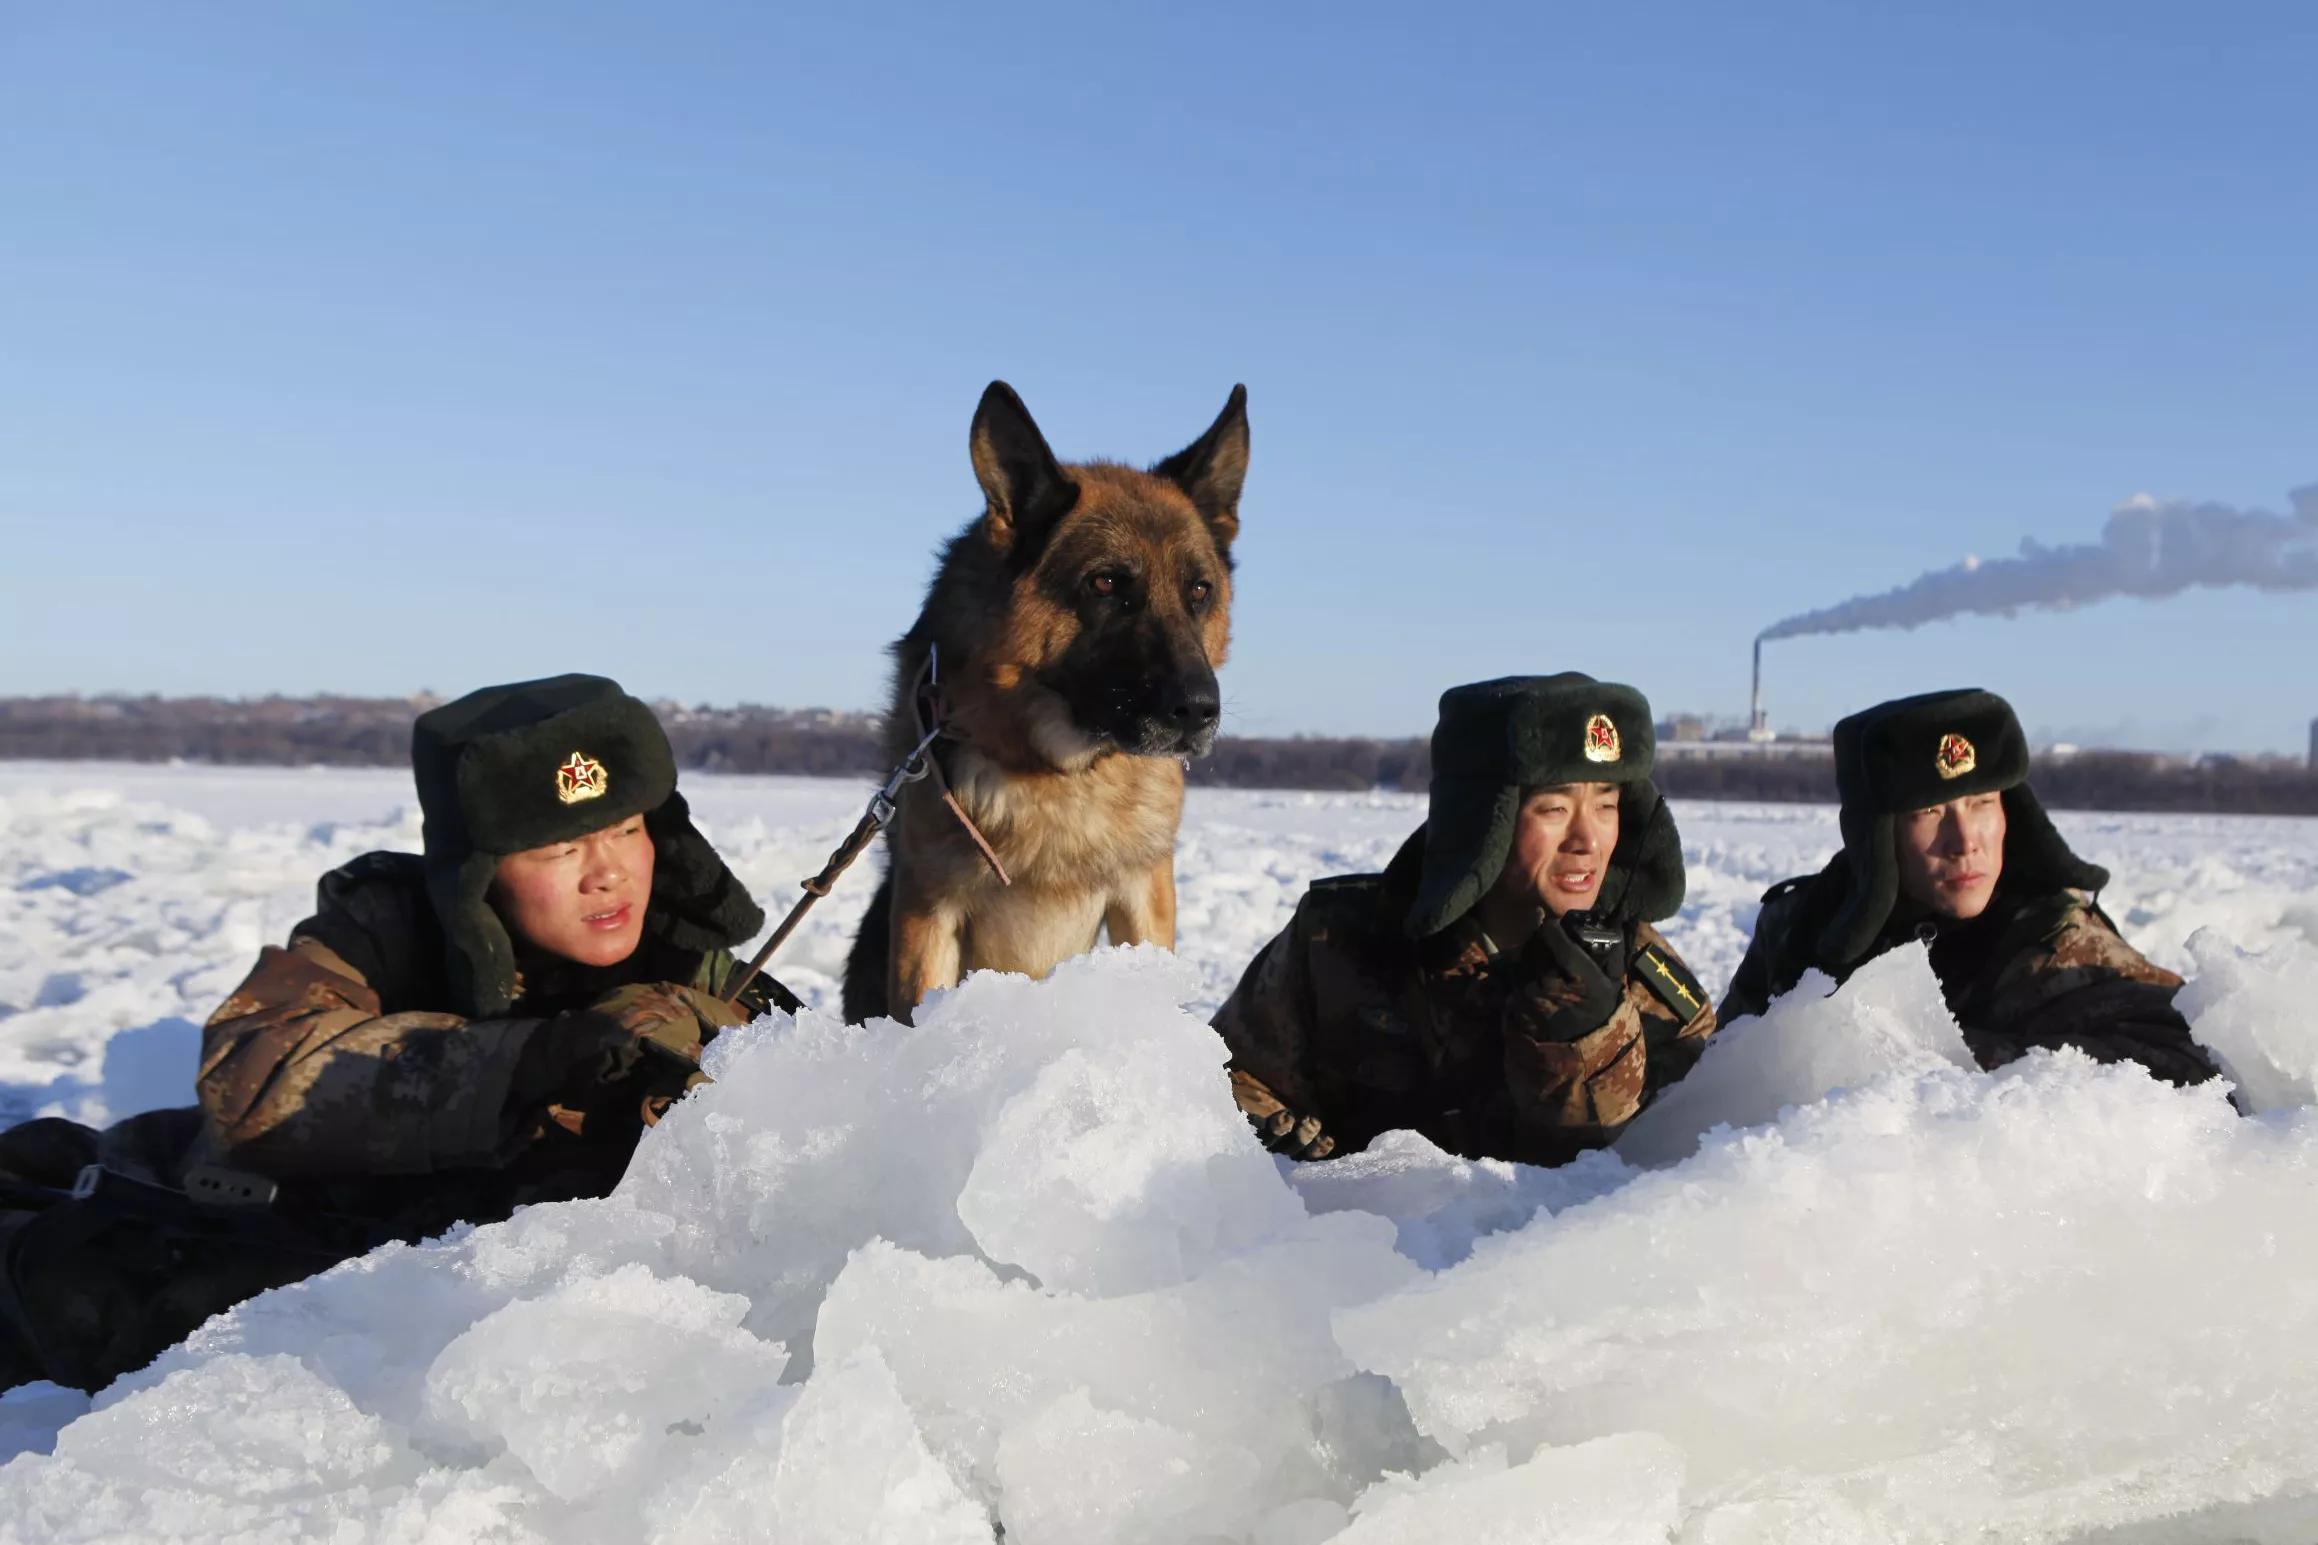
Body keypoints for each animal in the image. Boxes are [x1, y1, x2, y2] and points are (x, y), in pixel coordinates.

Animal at [848, 379, 1251, 1019]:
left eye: (1199, 590)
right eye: (1106, 583)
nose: (1198, 710)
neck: (1061, 776)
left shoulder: (1144, 894)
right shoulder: (926, 913)